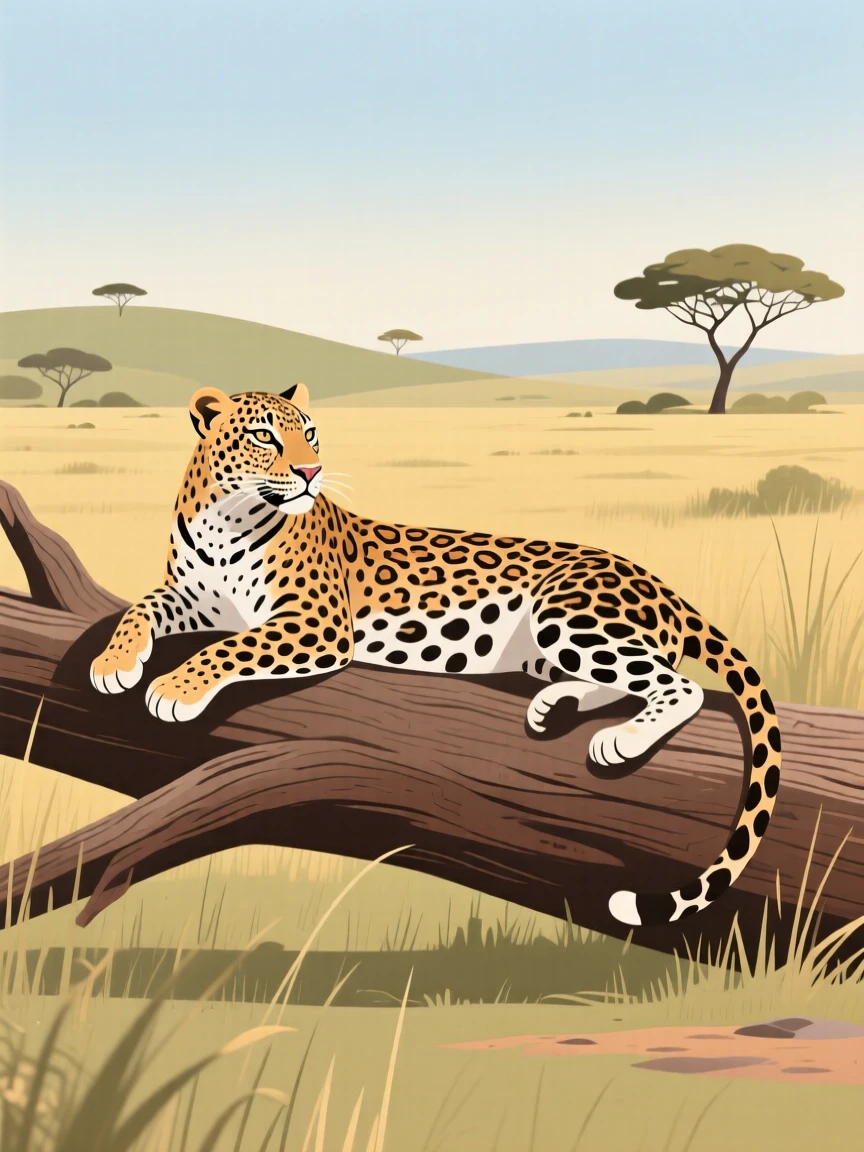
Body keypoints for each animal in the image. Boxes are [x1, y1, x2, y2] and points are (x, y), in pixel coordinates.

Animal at [91, 384, 782, 928]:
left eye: (309, 434)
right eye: (264, 435)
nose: (312, 473)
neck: (224, 521)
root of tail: (659, 581)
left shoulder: (316, 624)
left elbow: (234, 645)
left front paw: (174, 689)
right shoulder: (191, 598)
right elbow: (141, 608)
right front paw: (111, 663)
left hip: (569, 614)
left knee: (675, 684)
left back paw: (621, 741)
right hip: (556, 644)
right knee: (624, 676)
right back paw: (555, 705)